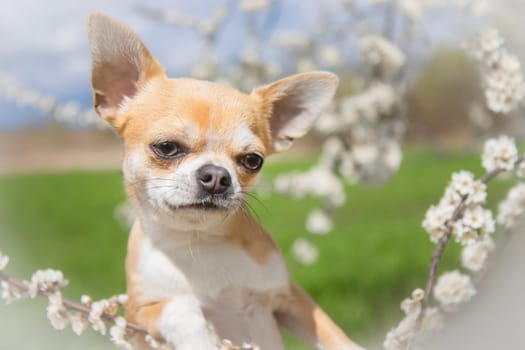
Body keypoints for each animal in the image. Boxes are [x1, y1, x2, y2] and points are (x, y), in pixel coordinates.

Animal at [87, 13, 364, 350]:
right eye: (166, 147)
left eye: (253, 160)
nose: (217, 176)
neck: (199, 241)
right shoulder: (136, 318)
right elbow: (178, 306)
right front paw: (201, 337)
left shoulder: (289, 296)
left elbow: (332, 334)